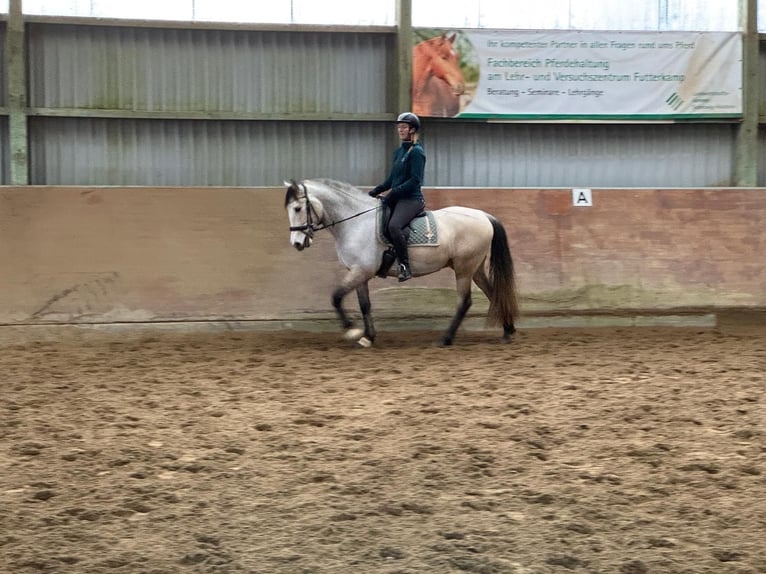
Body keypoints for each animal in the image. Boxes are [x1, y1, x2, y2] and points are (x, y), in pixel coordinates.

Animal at [284, 179, 519, 347]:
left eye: (297, 209)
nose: (296, 243)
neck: (356, 222)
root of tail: (484, 216)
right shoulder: (359, 272)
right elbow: (364, 304)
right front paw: (368, 337)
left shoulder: (360, 271)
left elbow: (336, 297)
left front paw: (351, 330)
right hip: (474, 269)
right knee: (493, 293)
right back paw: (507, 331)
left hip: (463, 269)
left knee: (465, 302)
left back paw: (446, 339)